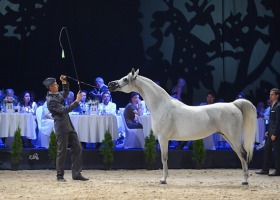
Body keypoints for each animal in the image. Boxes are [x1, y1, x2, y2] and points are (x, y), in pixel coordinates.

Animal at [108, 69, 258, 186]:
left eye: (125, 79)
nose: (110, 84)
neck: (162, 106)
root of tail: (234, 104)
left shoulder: (163, 138)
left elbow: (164, 158)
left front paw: (163, 180)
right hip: (228, 137)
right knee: (240, 155)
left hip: (233, 137)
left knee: (243, 154)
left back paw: (245, 181)